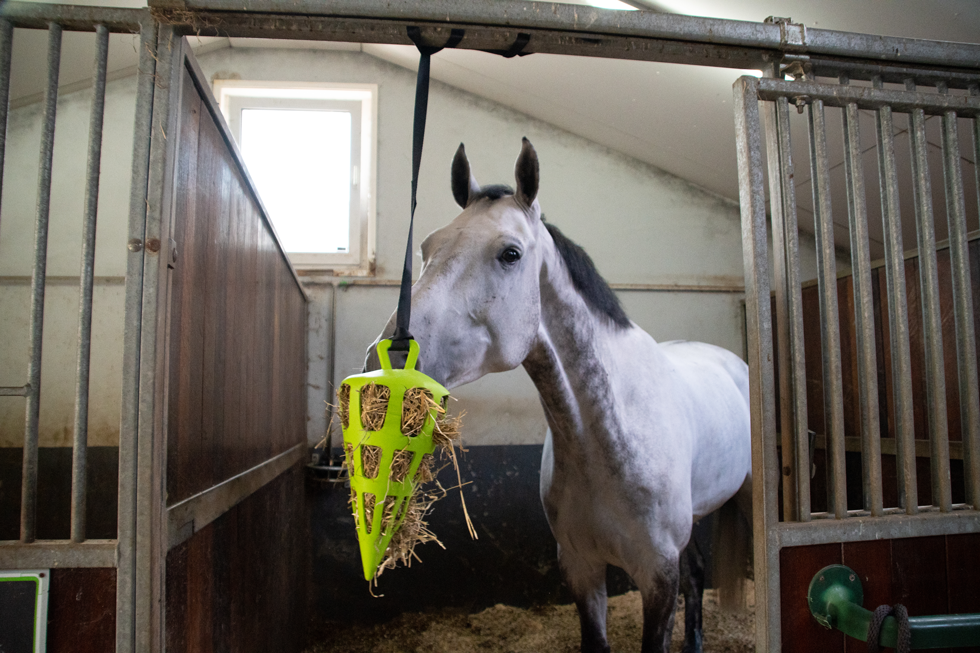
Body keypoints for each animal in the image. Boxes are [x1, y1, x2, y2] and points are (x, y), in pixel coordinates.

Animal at [365, 138, 753, 653]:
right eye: (427, 247)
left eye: (510, 253)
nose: (386, 361)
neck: (607, 435)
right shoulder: (581, 567)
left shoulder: (657, 576)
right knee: (696, 575)